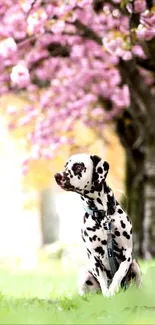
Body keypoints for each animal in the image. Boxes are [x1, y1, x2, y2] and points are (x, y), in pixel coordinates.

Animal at [54, 153, 142, 296]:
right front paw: (108, 294)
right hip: (83, 273)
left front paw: (113, 289)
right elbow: (103, 281)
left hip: (135, 266)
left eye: (78, 166)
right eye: (65, 166)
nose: (57, 175)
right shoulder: (94, 258)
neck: (102, 216)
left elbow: (118, 274)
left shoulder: (127, 254)